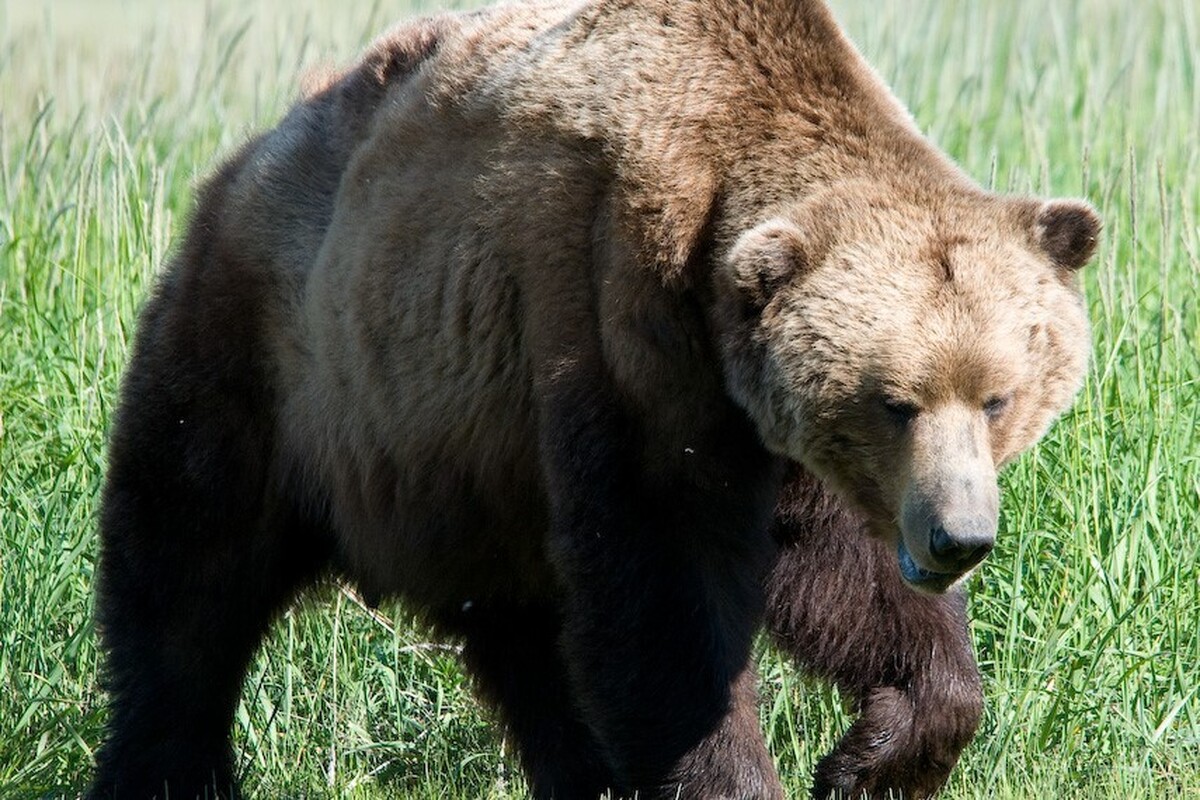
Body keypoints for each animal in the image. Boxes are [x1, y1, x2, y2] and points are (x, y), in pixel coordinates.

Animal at [87, 1, 1099, 800]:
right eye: (894, 401)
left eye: (998, 396)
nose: (957, 538)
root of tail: (247, 157)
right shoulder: (619, 325)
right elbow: (664, 595)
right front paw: (738, 774)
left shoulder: (767, 427)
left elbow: (841, 579)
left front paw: (872, 756)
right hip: (275, 365)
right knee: (184, 586)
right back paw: (168, 771)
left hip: (471, 481)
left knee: (530, 650)